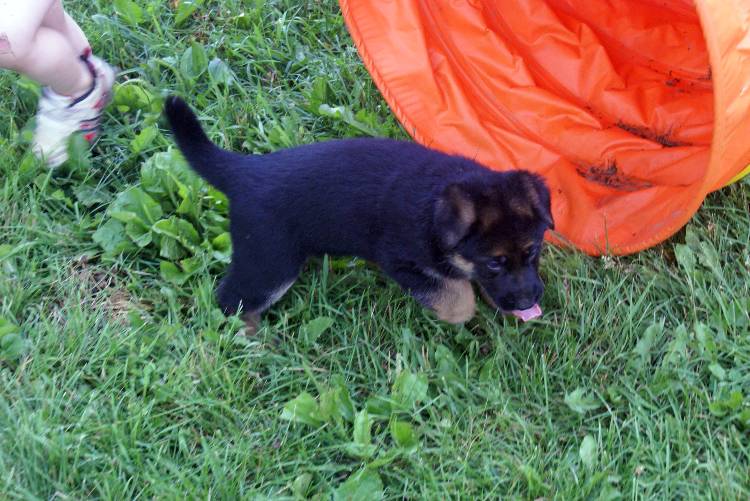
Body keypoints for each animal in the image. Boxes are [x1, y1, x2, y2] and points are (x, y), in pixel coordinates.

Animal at [163, 95, 552, 326]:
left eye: (532, 251)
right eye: (494, 263)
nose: (529, 300)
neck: (435, 205)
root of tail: (245, 172)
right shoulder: (400, 261)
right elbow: (455, 297)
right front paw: (464, 312)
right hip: (269, 264)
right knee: (231, 301)